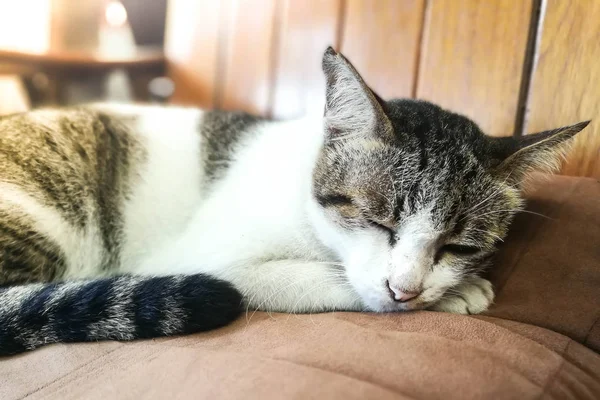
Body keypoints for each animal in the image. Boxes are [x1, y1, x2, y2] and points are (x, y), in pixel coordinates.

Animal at [0, 47, 588, 356]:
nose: (406, 289)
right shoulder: (204, 258)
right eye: (379, 223)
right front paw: (453, 295)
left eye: (459, 245)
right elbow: (327, 281)